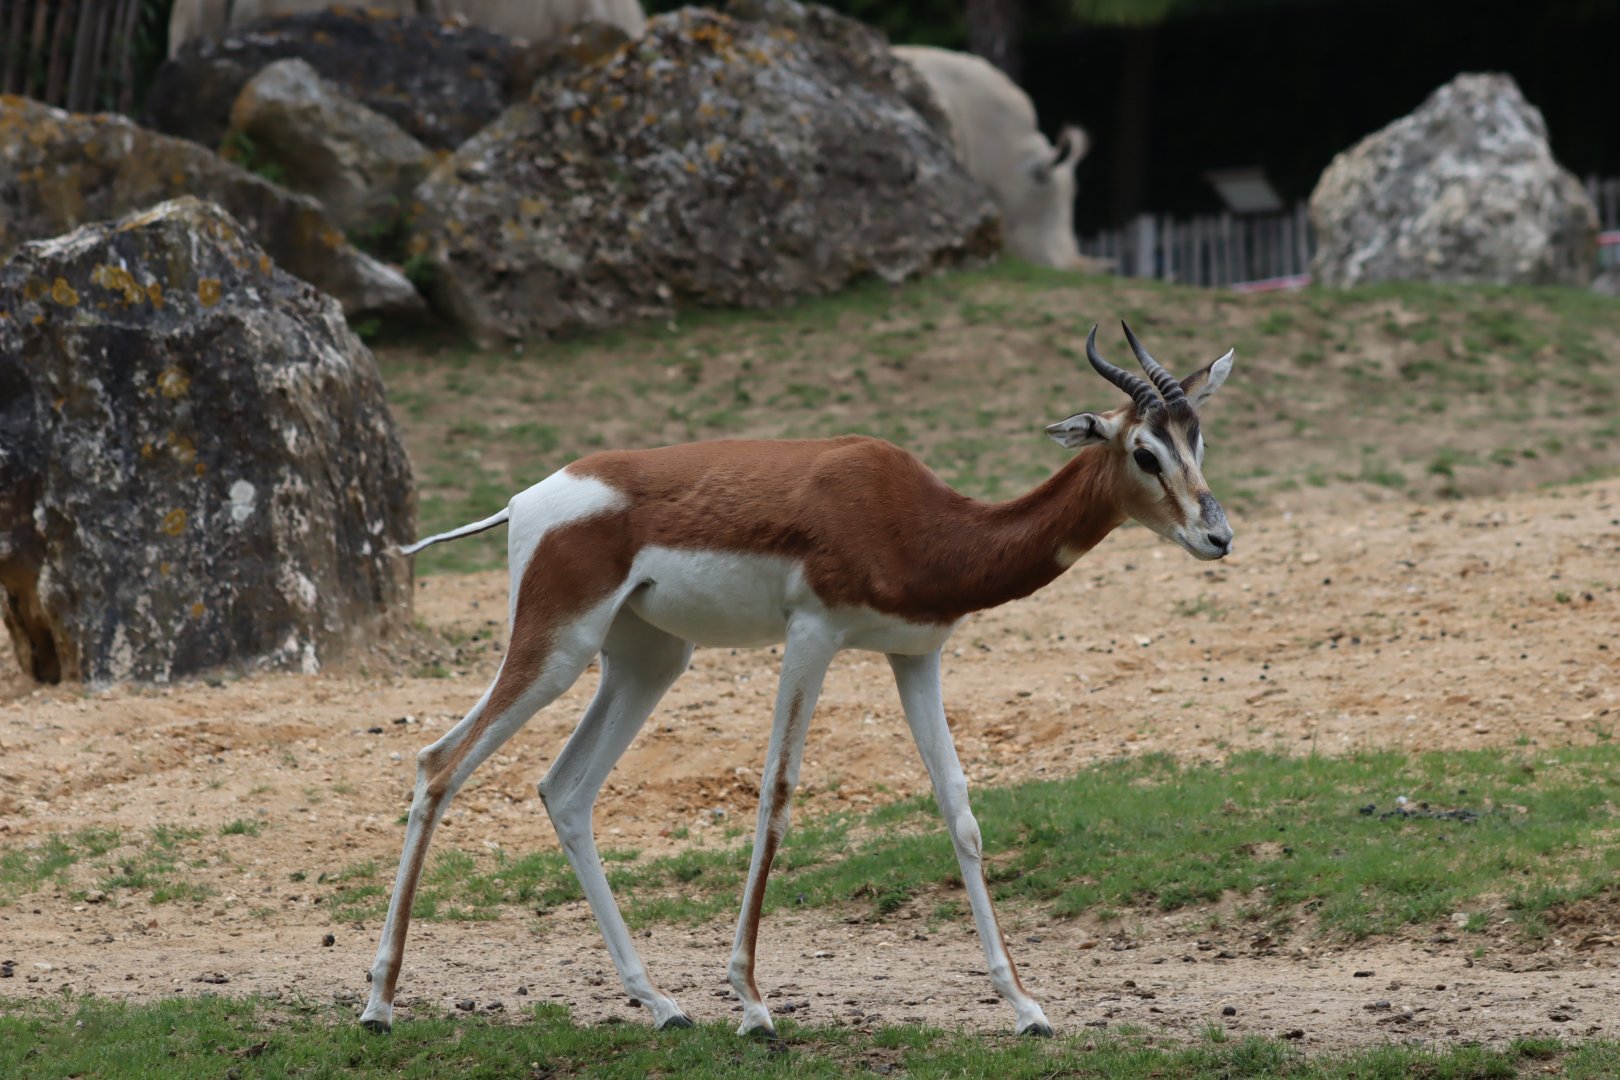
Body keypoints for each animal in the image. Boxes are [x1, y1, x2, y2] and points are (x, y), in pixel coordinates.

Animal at [359, 322, 1236, 1038]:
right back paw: (379, 1004)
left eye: (1199, 441)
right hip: (556, 647)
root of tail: (524, 501)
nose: (1217, 535)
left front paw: (1025, 1007)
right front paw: (752, 1003)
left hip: (648, 659)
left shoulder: (915, 654)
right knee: (439, 764)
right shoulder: (813, 635)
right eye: (1145, 450)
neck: (920, 523)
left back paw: (661, 1004)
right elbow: (777, 795)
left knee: (565, 789)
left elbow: (959, 810)